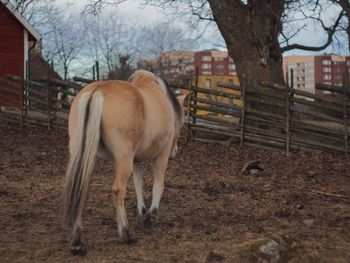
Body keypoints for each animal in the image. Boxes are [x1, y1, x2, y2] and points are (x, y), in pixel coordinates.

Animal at [63, 70, 183, 256]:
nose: (175, 152)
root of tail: (98, 90)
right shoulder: (161, 155)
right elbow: (158, 185)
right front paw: (150, 216)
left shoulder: (136, 160)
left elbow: (138, 184)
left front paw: (142, 212)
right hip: (124, 158)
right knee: (118, 190)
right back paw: (126, 233)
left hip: (85, 155)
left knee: (81, 188)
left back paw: (77, 242)